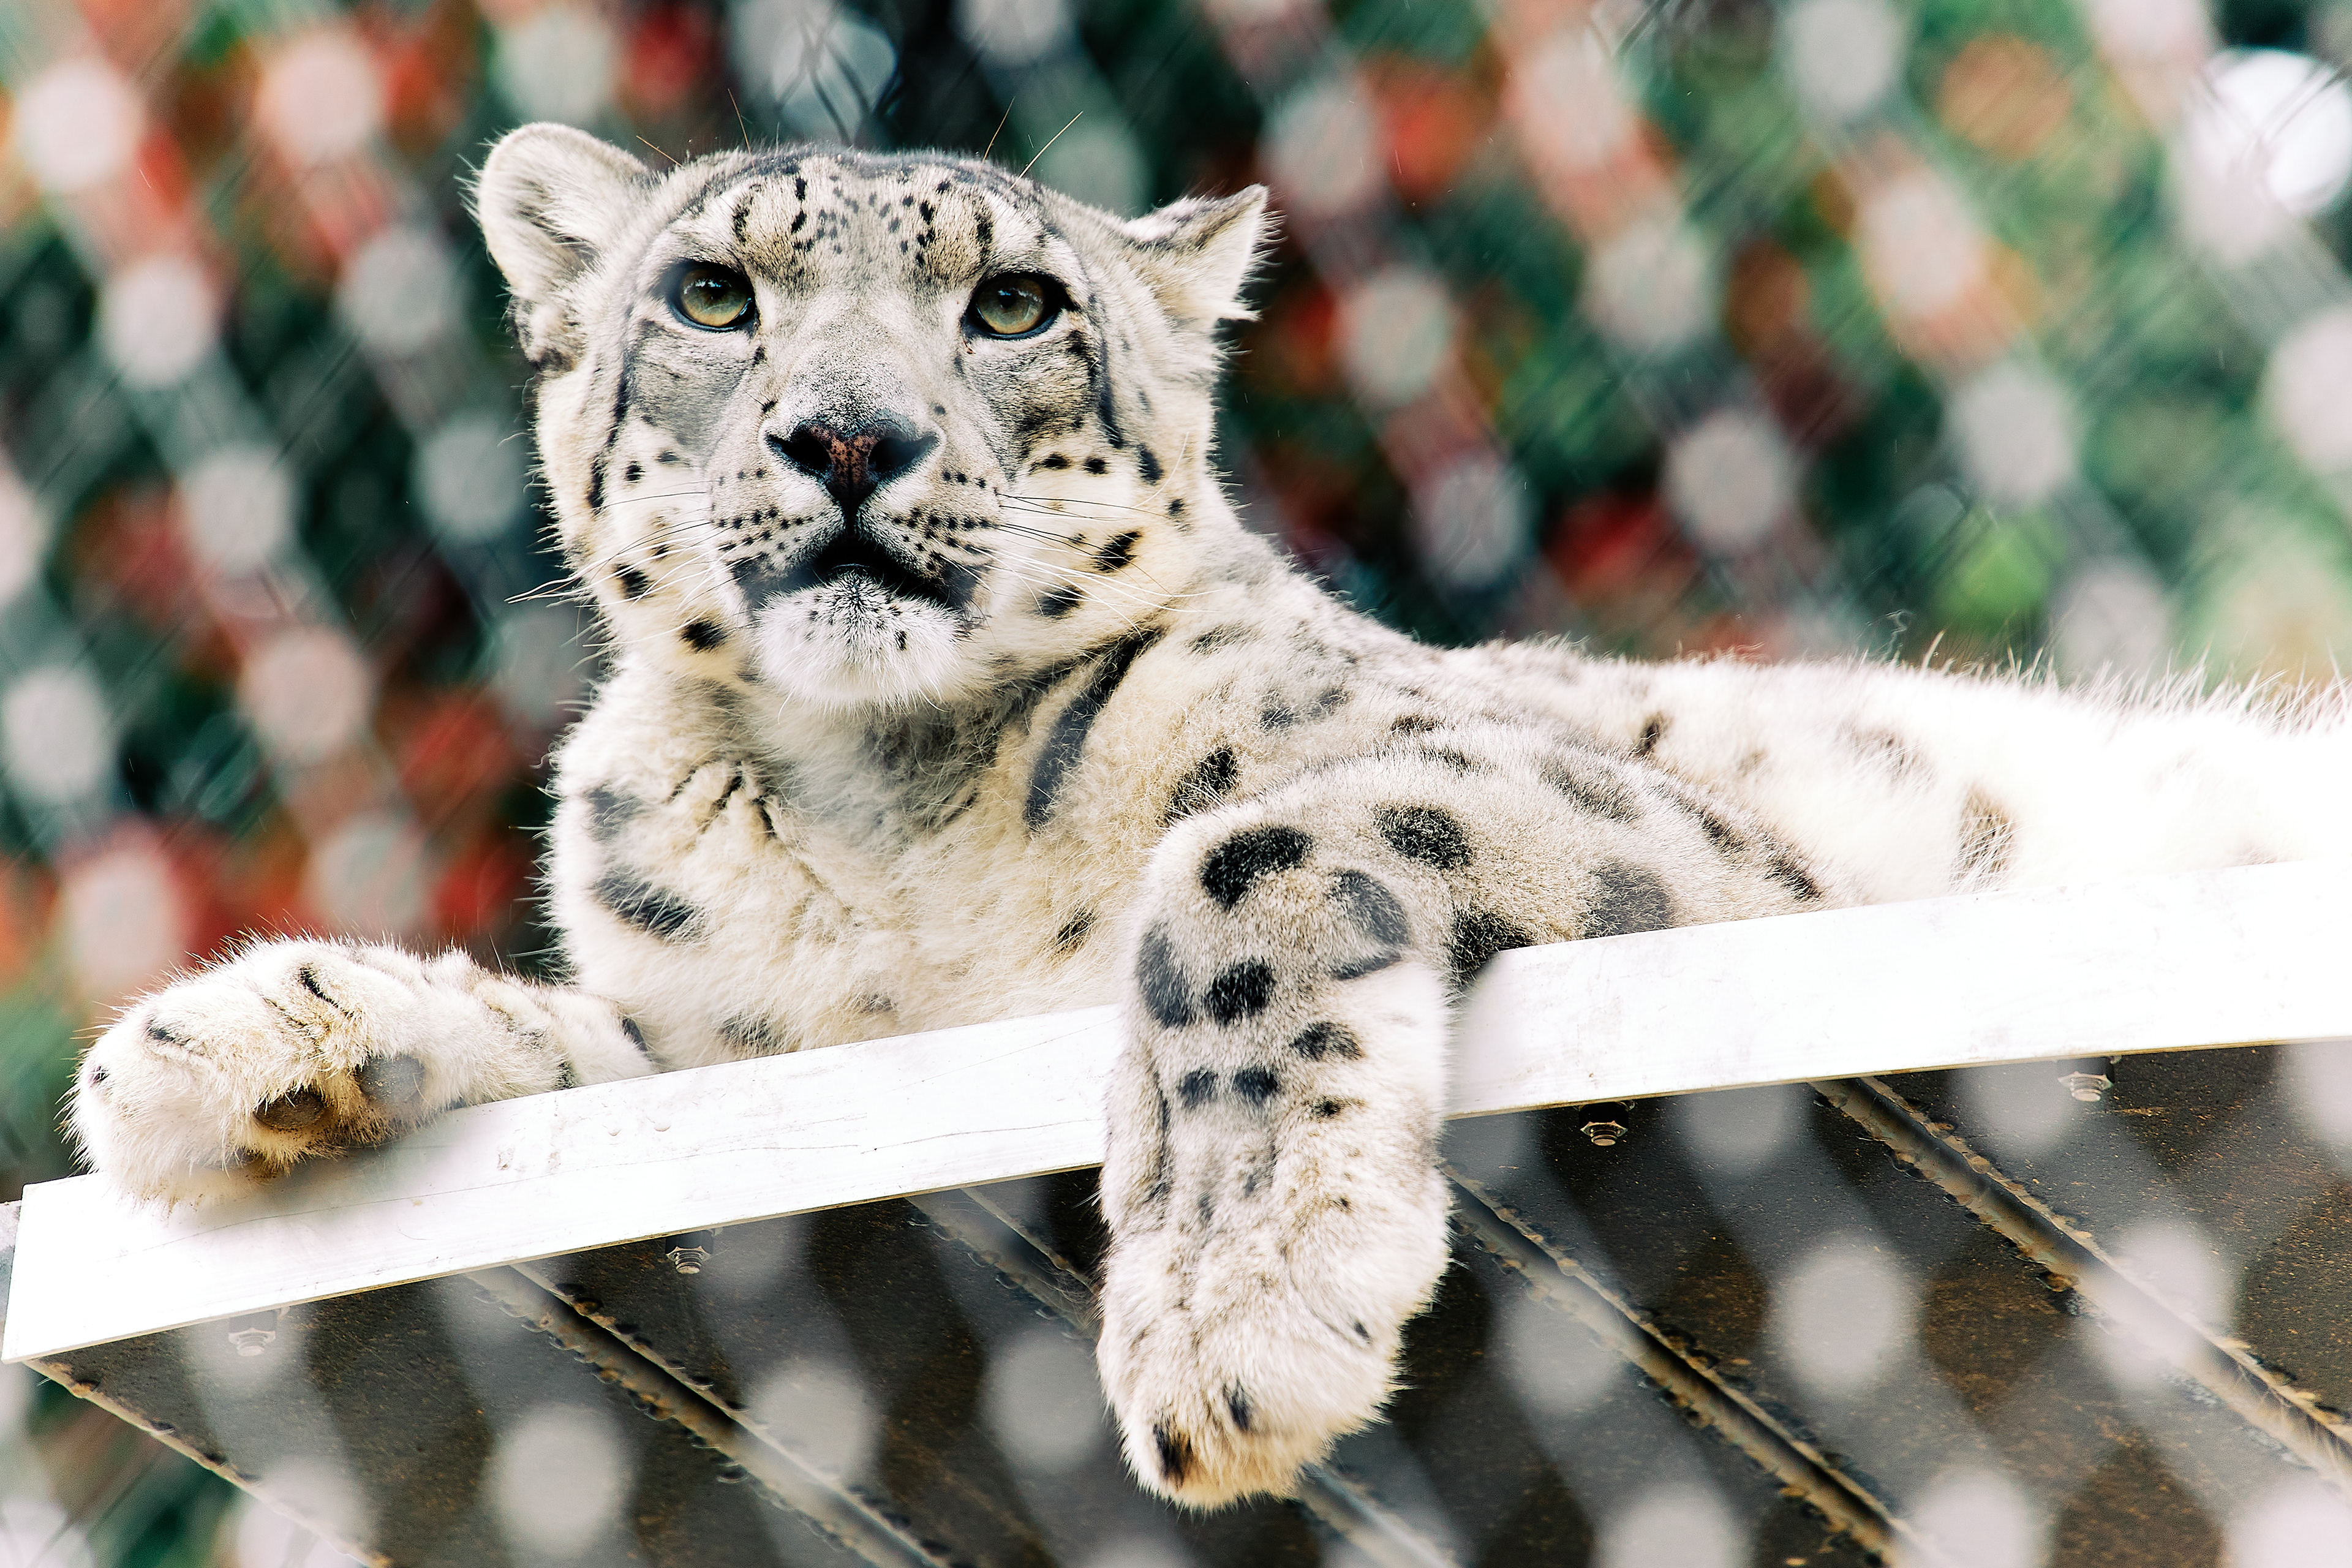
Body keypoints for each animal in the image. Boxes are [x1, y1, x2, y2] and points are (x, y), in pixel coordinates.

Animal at [70, 122, 2352, 1510]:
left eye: (1011, 306)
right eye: (714, 294)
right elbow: (586, 1041)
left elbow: (1238, 853)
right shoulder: (740, 1046)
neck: (884, 829)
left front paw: (1237, 1312)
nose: (847, 436)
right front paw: (221, 1040)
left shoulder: (1668, 826)